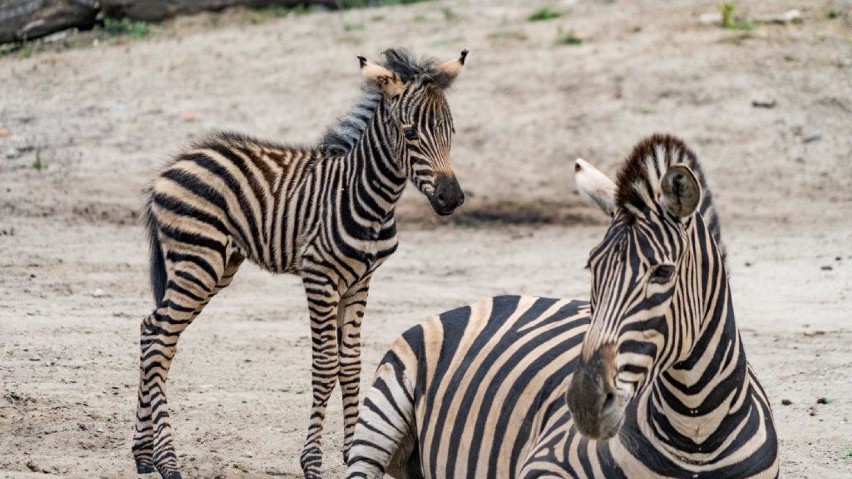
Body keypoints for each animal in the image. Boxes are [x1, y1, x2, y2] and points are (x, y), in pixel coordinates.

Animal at [131, 48, 472, 479]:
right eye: (410, 134)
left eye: (451, 131)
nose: (452, 198)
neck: (366, 196)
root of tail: (168, 168)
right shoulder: (319, 277)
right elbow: (325, 367)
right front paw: (312, 461)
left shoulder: (359, 282)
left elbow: (350, 364)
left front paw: (351, 450)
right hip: (198, 261)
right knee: (160, 343)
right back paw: (168, 461)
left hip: (216, 266)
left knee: (152, 331)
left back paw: (143, 454)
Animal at [346, 135, 780, 479]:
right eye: (592, 267)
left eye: (662, 272)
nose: (584, 403)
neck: (697, 435)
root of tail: (494, 298)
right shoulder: (546, 460)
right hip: (383, 410)